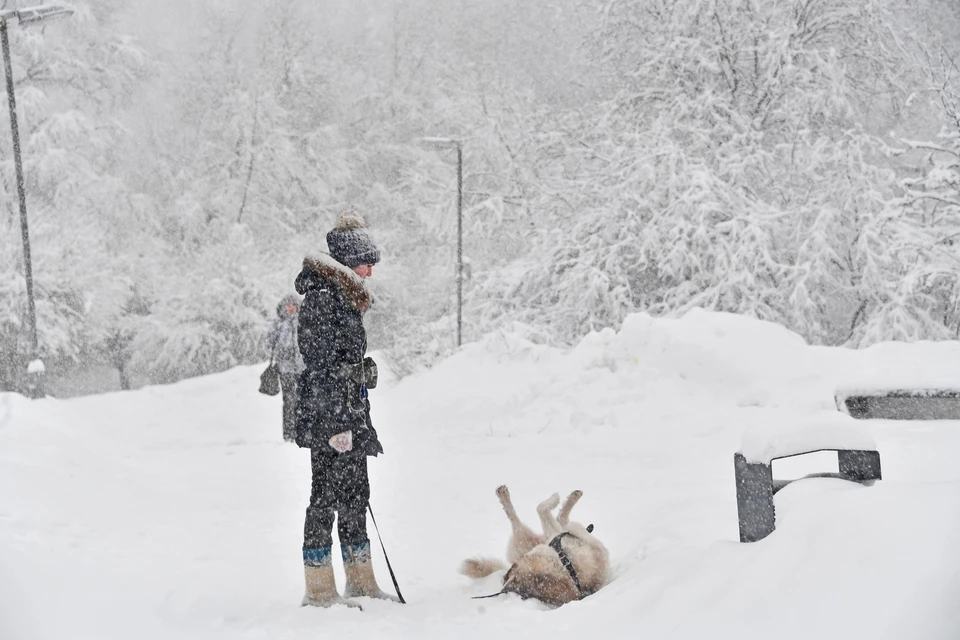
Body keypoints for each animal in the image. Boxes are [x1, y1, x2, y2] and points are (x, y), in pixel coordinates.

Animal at [462, 488, 612, 608]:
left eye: (510, 570)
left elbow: (548, 513)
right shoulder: (579, 539)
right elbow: (544, 510)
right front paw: (555, 499)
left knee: (556, 519)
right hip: (529, 537)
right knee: (556, 519)